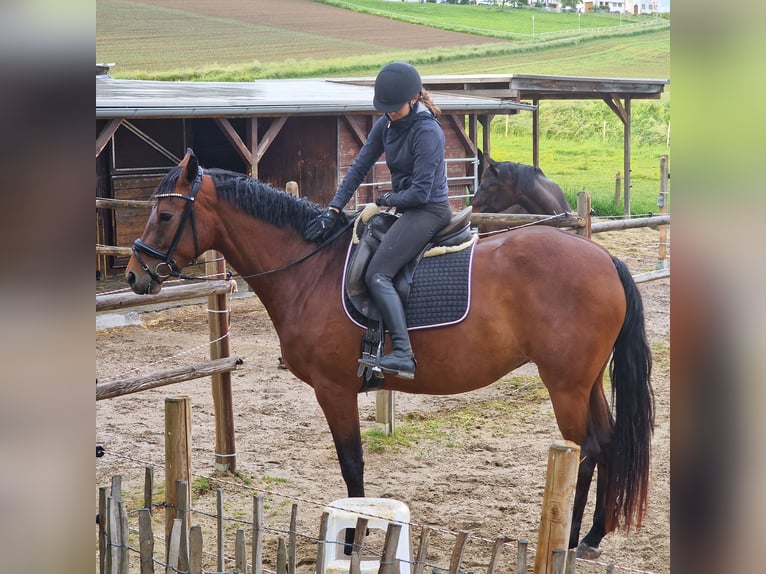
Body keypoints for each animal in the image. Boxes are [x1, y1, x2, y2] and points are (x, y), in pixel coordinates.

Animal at [126, 151, 656, 560]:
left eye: (166, 216)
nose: (135, 273)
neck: (312, 270)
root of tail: (603, 259)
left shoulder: (334, 389)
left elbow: (352, 464)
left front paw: (353, 541)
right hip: (584, 381)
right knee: (607, 443)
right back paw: (592, 536)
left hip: (564, 384)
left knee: (583, 452)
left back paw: (568, 538)